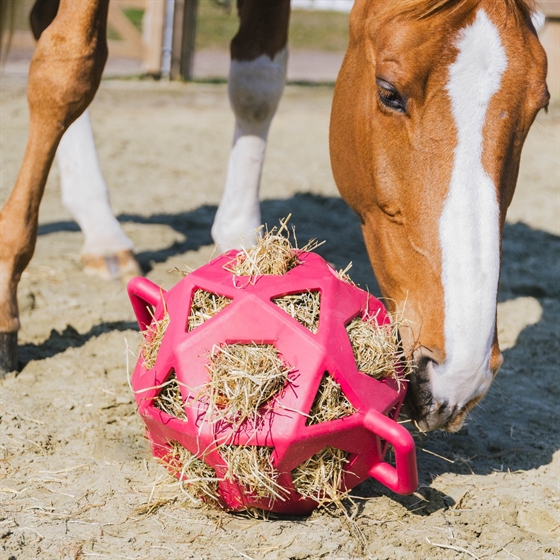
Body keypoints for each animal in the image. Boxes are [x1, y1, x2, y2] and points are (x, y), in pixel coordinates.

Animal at [0, 0, 548, 434]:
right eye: (389, 91)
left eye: (538, 108)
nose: (461, 375)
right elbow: (66, 71)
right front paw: (6, 285)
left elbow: (257, 83)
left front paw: (243, 245)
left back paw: (102, 232)